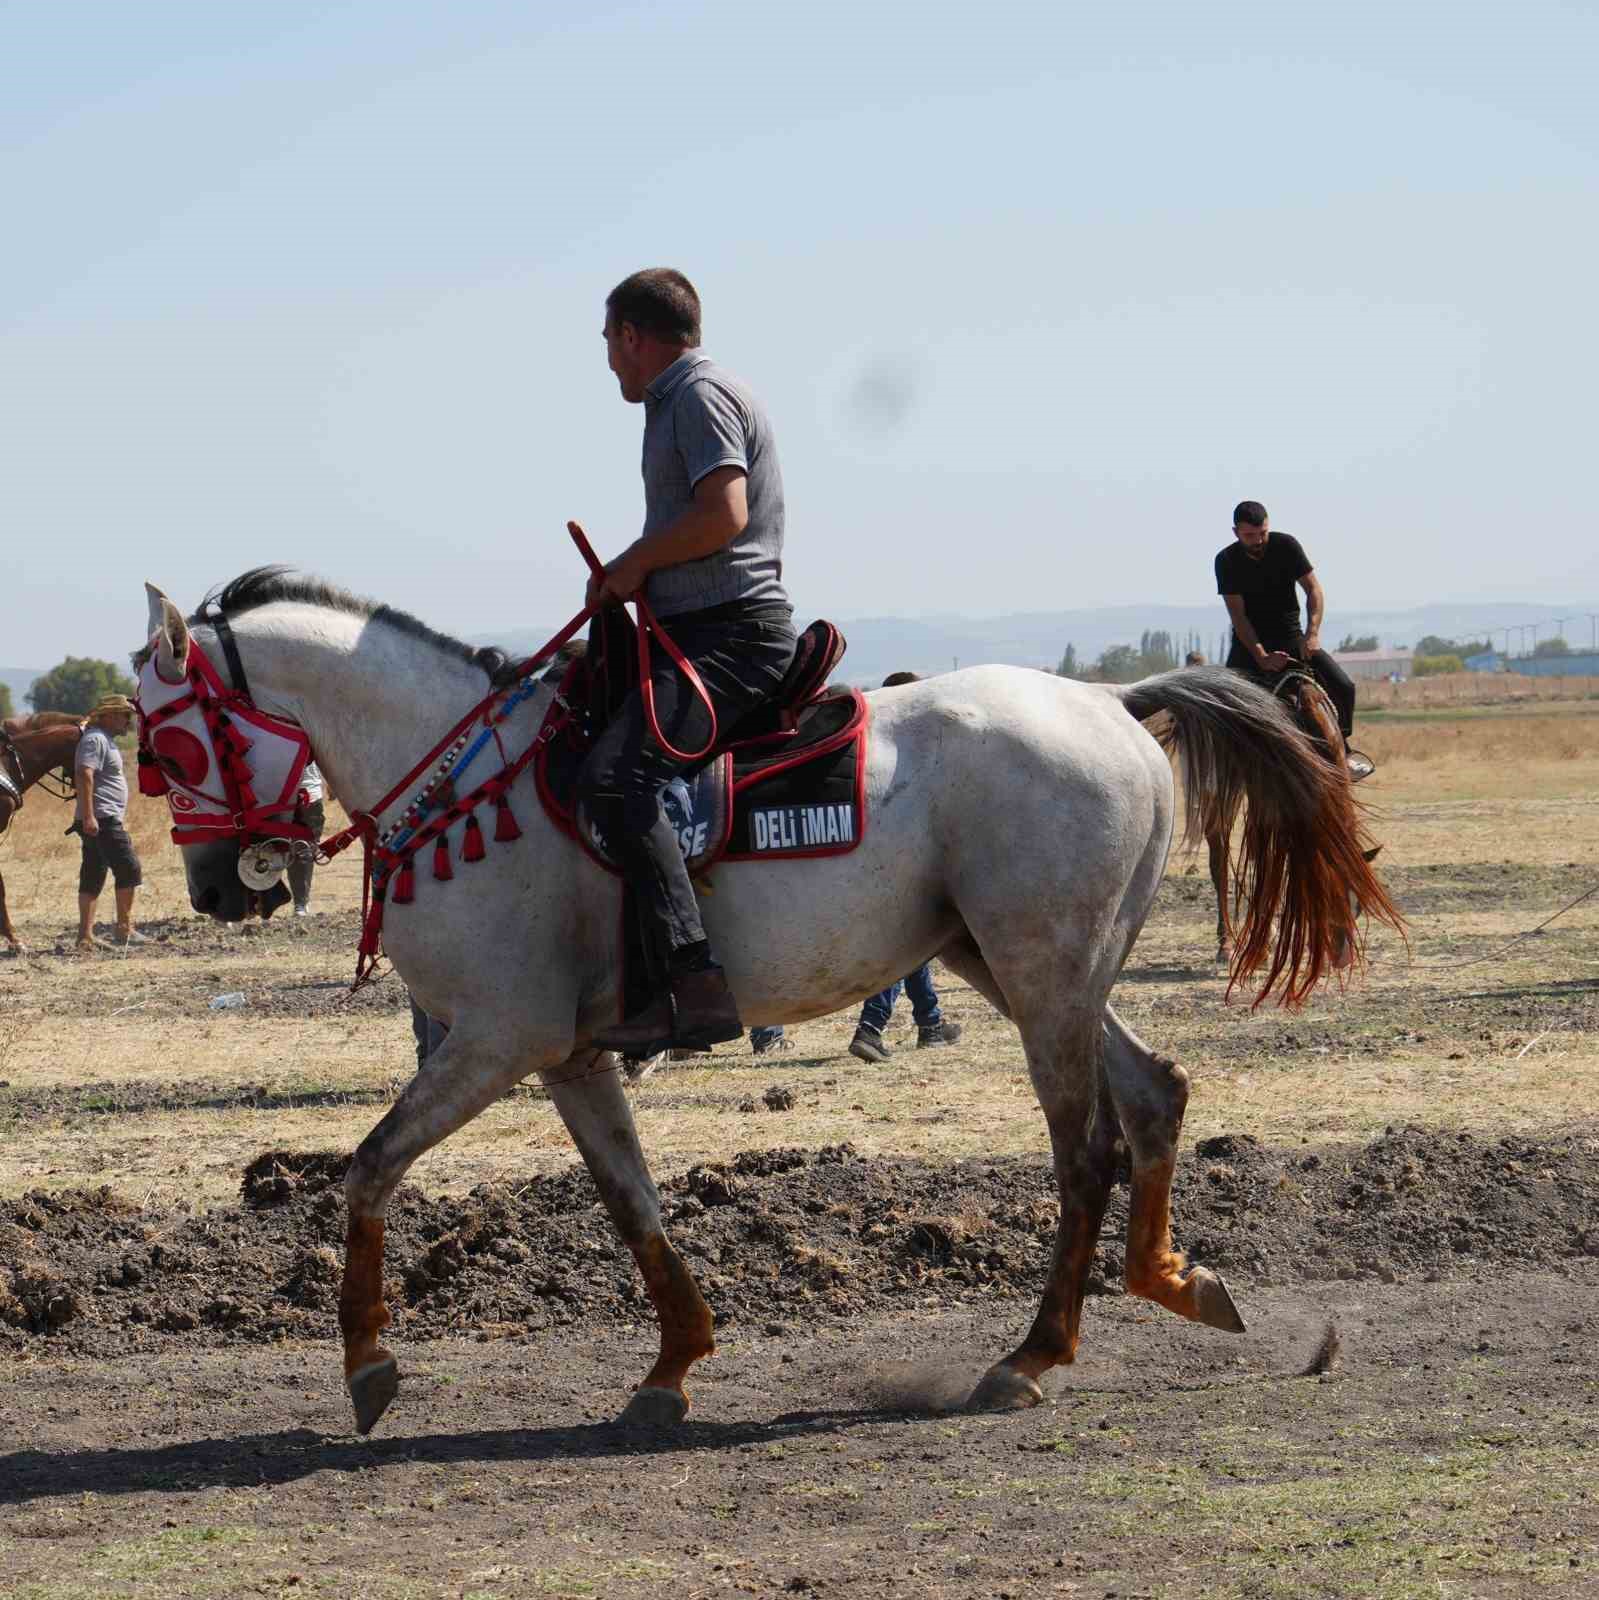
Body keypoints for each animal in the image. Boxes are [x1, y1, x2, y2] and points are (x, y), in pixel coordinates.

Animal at [1203, 668, 1382, 966]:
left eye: (1357, 906)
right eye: (1329, 898)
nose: (1341, 958)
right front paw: (1265, 943)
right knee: (1219, 858)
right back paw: (1226, 943)